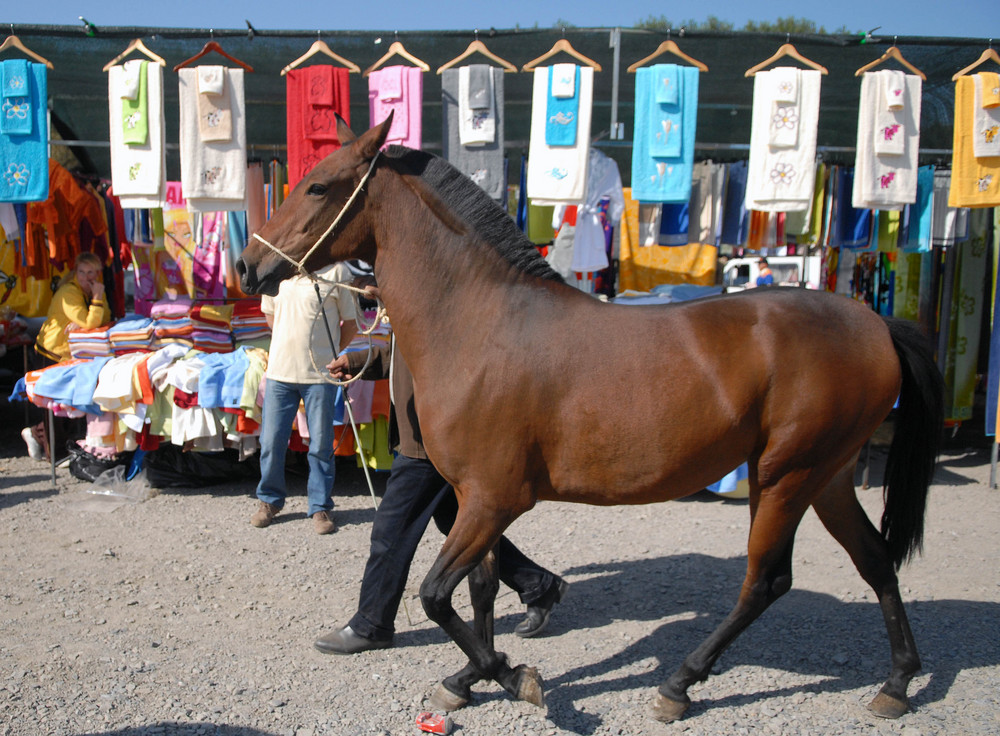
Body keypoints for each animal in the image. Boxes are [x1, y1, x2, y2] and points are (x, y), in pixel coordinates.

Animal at [238, 119, 940, 724]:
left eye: (320, 185)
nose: (250, 266)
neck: (481, 322)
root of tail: (875, 325)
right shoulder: (474, 498)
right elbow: (481, 592)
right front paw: (468, 678)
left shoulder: (493, 499)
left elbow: (436, 593)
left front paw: (514, 676)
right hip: (828, 478)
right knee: (876, 561)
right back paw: (898, 681)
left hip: (785, 476)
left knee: (766, 580)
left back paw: (679, 684)